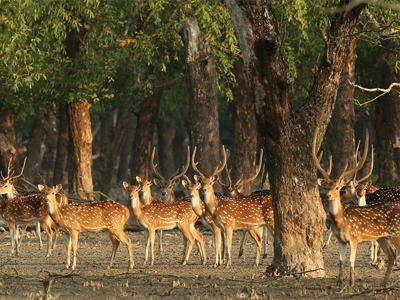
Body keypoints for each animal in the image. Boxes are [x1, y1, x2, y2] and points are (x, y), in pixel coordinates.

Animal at [312, 128, 400, 286]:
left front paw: (352, 283)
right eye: (326, 186)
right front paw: (339, 282)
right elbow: (341, 261)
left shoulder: (354, 237)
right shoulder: (341, 240)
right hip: (383, 237)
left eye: (338, 187)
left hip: (396, 234)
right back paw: (383, 282)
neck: (341, 222)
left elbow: (351, 261)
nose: (327, 196)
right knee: (391, 255)